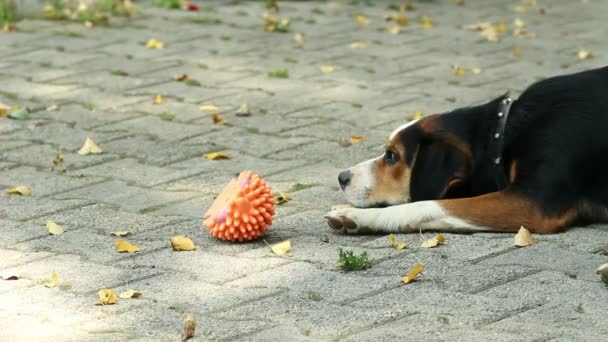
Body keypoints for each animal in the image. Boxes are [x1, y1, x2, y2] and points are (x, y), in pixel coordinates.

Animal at [326, 65, 608, 234]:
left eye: (392, 156)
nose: (342, 177)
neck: (504, 133)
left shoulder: (533, 202)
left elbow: (426, 205)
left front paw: (357, 217)